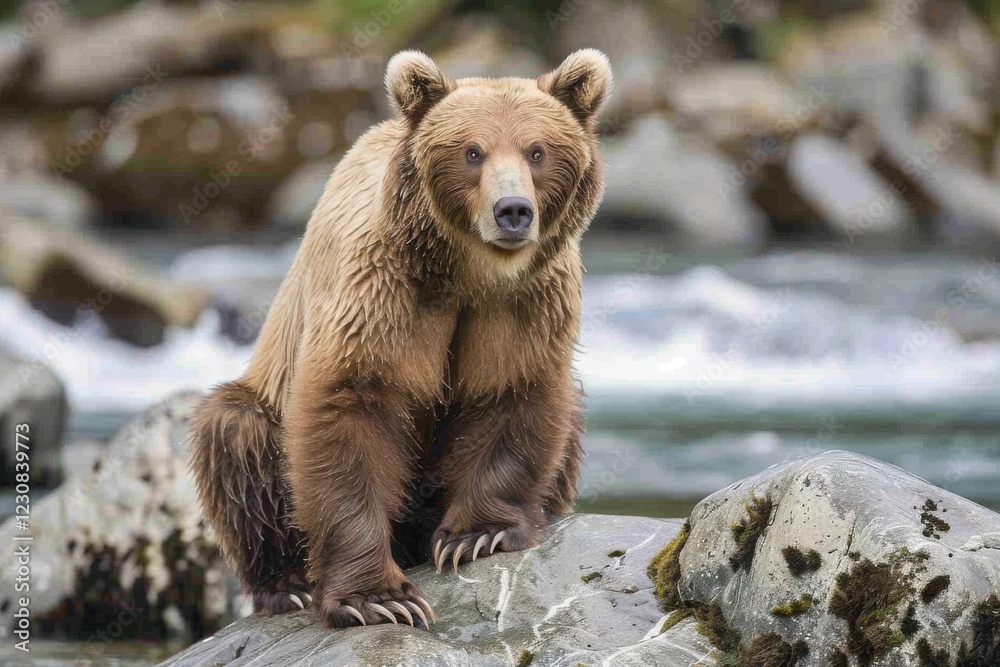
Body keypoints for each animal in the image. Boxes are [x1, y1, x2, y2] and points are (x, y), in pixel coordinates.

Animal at [188, 48, 613, 629]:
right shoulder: (381, 291)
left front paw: (476, 535)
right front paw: (380, 598)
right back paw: (286, 585)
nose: (513, 211)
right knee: (234, 433)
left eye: (537, 150)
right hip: (265, 403)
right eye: (472, 151)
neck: (466, 273)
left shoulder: (524, 304)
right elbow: (351, 408)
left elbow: (512, 393)